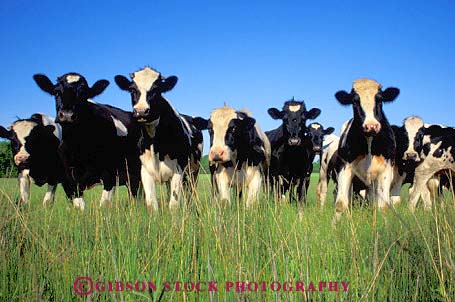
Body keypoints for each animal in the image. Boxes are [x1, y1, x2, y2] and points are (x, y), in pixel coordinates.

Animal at [32, 73, 141, 210]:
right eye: (56, 92)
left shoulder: (110, 176)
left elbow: (103, 205)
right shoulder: (70, 180)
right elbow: (79, 207)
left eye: (84, 94)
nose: (67, 115)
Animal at [114, 67, 203, 211]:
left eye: (157, 90)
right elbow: (152, 204)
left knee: (190, 192)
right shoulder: (145, 171)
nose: (141, 111)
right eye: (132, 90)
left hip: (194, 171)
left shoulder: (178, 169)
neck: (154, 143)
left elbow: (174, 204)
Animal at [334, 78, 400, 222]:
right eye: (354, 101)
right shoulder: (345, 167)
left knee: (373, 204)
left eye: (380, 99)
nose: (371, 126)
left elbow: (383, 207)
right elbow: (340, 204)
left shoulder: (386, 170)